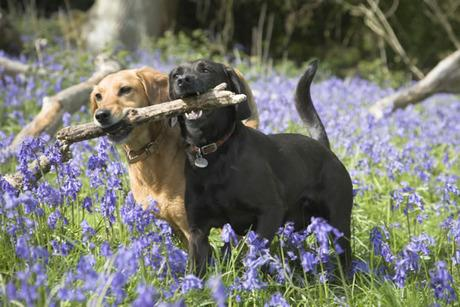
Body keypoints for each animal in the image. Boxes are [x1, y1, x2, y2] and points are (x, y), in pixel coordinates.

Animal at [169, 59, 352, 276]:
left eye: (205, 69)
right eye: (175, 74)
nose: (182, 80)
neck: (214, 155)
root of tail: (324, 147)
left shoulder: (270, 211)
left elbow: (254, 254)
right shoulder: (198, 230)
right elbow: (195, 269)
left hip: (339, 221)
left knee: (346, 256)